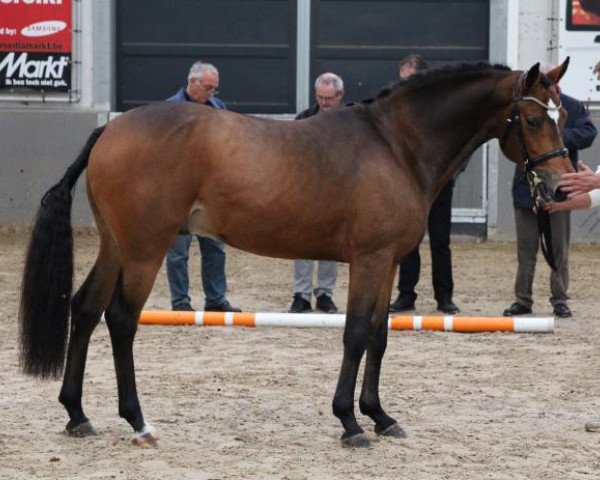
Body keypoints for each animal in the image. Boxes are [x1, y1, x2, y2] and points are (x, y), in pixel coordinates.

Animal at [17, 60, 572, 450]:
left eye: (562, 116)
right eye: (530, 119)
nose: (558, 186)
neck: (395, 145)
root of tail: (110, 128)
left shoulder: (389, 263)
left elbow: (379, 336)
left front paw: (380, 416)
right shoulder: (370, 260)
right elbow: (355, 334)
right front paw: (350, 422)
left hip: (117, 245)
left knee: (86, 308)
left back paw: (77, 415)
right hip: (145, 248)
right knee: (121, 319)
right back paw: (138, 421)